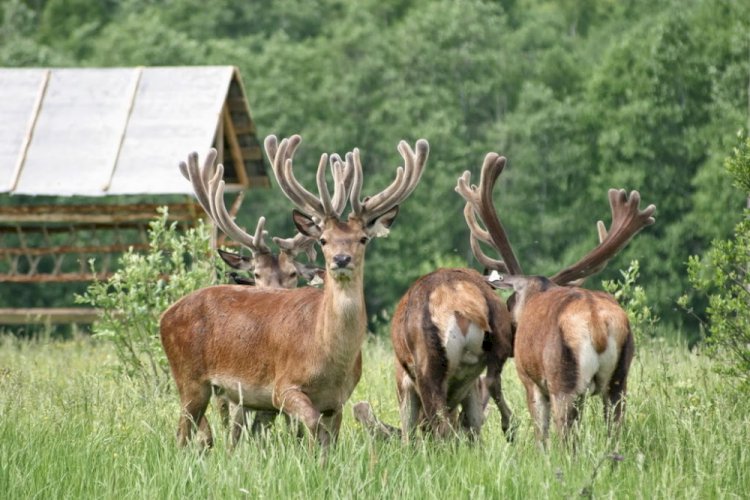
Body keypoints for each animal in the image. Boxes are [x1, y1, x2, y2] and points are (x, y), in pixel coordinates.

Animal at [160, 133, 428, 450]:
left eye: (363, 238)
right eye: (324, 239)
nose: (341, 259)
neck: (326, 357)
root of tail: (164, 316)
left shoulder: (338, 401)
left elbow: (328, 437)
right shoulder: (282, 386)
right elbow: (310, 426)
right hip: (189, 378)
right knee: (184, 432)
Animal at [462, 151, 656, 446]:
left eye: (509, 303)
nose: (508, 342)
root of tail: (597, 324)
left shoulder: (529, 379)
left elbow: (540, 434)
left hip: (563, 380)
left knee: (566, 437)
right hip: (619, 380)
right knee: (614, 430)